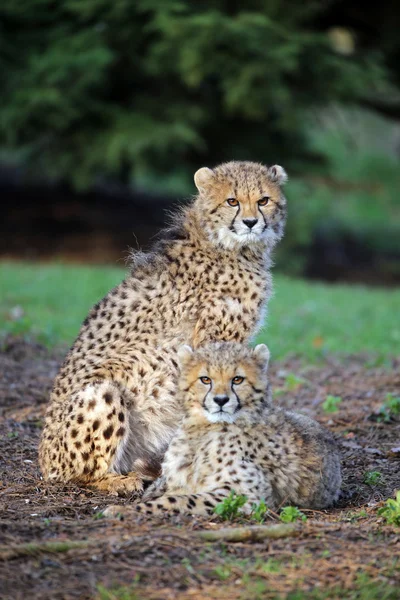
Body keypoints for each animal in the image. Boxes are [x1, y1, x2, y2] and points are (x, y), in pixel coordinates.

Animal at [39, 159, 288, 492]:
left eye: (263, 200)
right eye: (232, 201)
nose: (250, 222)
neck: (228, 245)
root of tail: (43, 461)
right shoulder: (213, 340)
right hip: (103, 391)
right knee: (82, 474)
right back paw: (119, 481)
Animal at [126, 342, 340, 516]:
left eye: (237, 379)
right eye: (205, 379)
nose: (221, 400)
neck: (203, 429)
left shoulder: (246, 496)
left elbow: (180, 500)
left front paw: (126, 510)